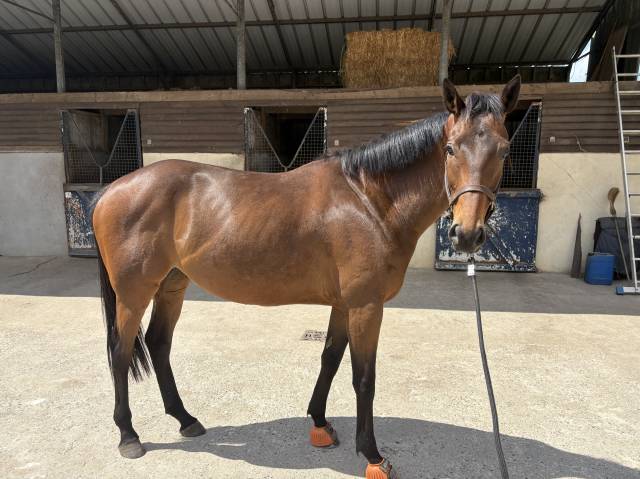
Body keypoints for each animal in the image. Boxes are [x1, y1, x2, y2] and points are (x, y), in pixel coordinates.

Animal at [92, 76, 520, 479]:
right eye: (451, 149)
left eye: (504, 150)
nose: (467, 234)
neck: (368, 202)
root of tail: (110, 190)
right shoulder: (366, 306)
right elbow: (364, 378)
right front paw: (372, 455)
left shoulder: (344, 304)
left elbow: (330, 358)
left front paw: (320, 423)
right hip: (133, 292)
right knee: (120, 352)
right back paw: (128, 436)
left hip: (172, 285)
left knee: (158, 344)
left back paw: (186, 419)